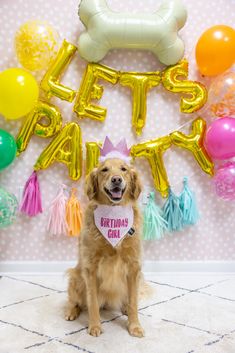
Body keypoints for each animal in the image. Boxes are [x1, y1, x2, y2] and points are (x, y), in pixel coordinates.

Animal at [64, 158, 145, 336]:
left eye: (124, 169)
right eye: (104, 170)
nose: (116, 179)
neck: (114, 214)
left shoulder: (133, 266)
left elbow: (133, 301)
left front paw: (134, 326)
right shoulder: (90, 267)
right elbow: (92, 302)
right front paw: (94, 326)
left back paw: (125, 308)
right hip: (75, 277)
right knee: (75, 301)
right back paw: (71, 311)